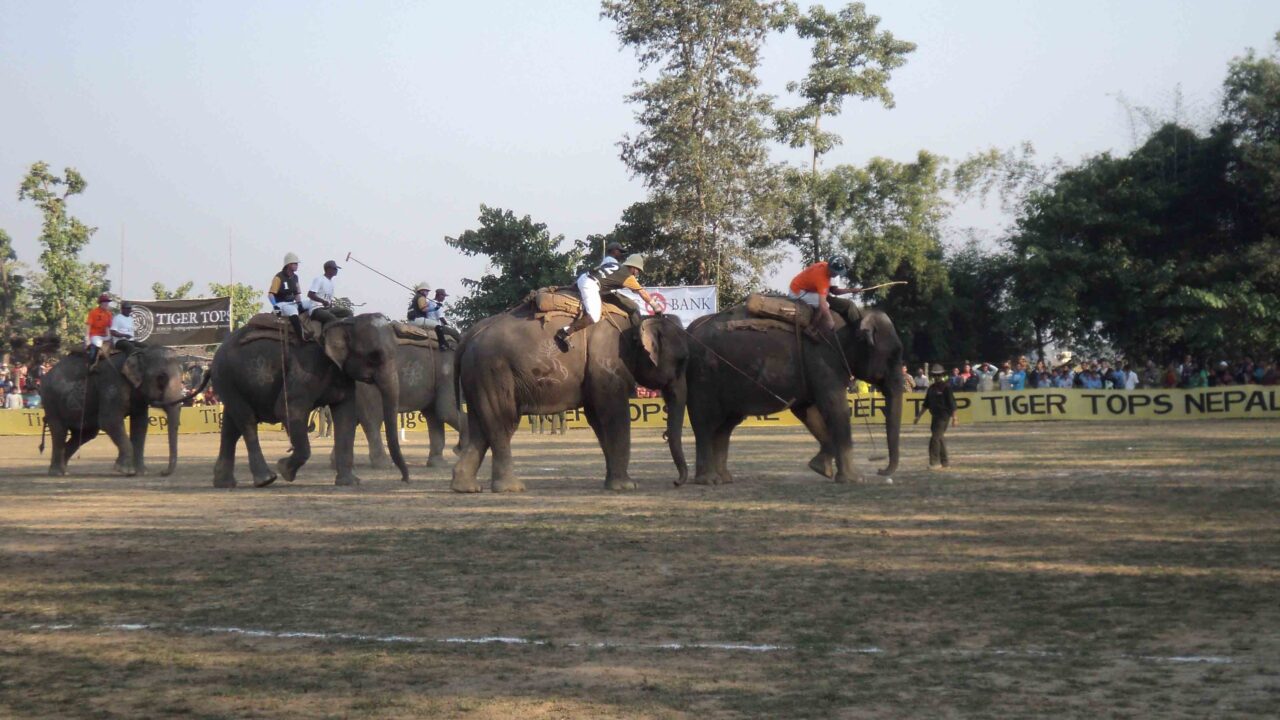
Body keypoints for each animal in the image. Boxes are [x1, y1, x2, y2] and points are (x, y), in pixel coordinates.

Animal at [39, 343, 207, 476]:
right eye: (161, 378)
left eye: (183, 379)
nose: (162, 472)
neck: (139, 352)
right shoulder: (112, 384)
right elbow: (110, 421)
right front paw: (126, 470)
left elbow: (140, 424)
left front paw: (141, 472)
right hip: (50, 400)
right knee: (59, 430)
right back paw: (57, 472)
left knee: (86, 433)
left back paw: (64, 470)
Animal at [209, 311, 407, 484]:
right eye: (374, 357)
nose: (404, 479)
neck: (343, 323)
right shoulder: (307, 367)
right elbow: (287, 409)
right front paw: (285, 470)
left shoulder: (341, 374)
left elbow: (346, 416)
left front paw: (350, 482)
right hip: (226, 377)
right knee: (247, 421)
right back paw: (266, 479)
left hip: (231, 382)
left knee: (231, 426)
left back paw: (224, 483)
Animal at [453, 299, 691, 489]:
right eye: (681, 362)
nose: (676, 482)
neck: (634, 323)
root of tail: (468, 336)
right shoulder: (606, 364)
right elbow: (614, 414)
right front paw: (626, 486)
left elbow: (597, 417)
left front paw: (612, 483)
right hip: (493, 371)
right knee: (503, 421)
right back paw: (511, 488)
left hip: (477, 376)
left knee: (480, 425)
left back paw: (465, 487)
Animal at [686, 297, 906, 481]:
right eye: (893, 355)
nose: (880, 469)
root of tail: (691, 330)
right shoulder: (823, 361)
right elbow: (835, 407)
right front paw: (855, 479)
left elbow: (807, 411)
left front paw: (821, 468)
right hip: (703, 375)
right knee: (704, 422)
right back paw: (709, 480)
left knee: (726, 426)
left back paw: (725, 478)